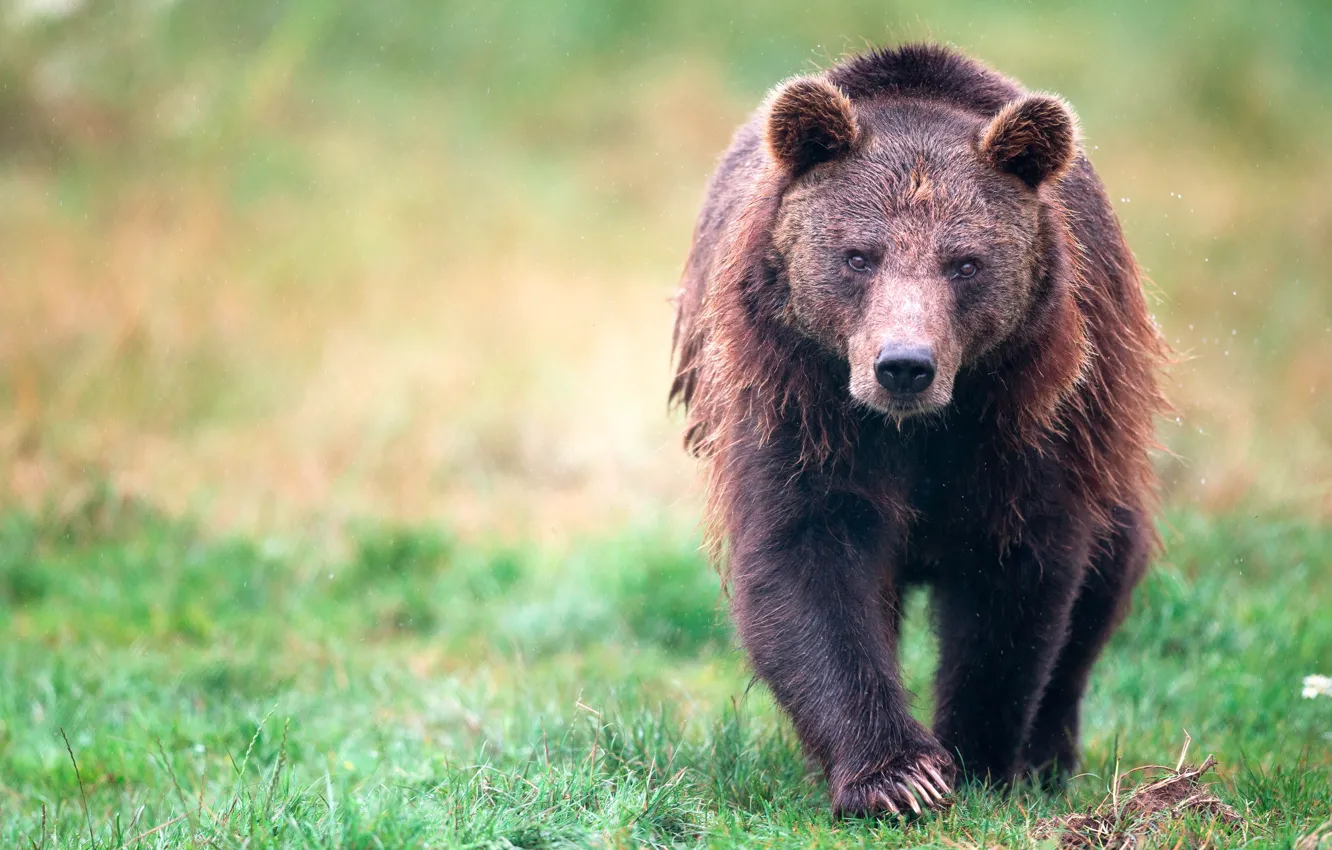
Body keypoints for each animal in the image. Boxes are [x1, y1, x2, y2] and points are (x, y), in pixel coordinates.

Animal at [670, 43, 1166, 817]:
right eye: (858, 255)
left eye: (966, 263)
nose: (905, 365)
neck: (918, 430)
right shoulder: (798, 399)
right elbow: (806, 556)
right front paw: (897, 776)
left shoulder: (1026, 417)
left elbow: (1016, 580)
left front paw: (977, 757)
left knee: (1105, 579)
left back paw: (1049, 757)